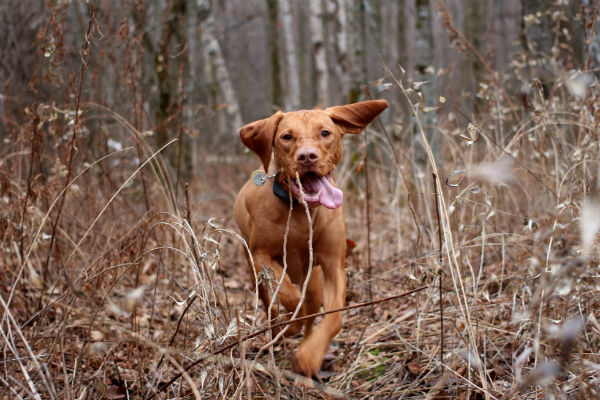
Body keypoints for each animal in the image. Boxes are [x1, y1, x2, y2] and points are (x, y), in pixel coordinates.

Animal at [232, 98, 386, 376]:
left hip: (313, 281)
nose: (306, 157)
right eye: (286, 137)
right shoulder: (262, 256)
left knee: (310, 315)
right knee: (271, 306)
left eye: (325, 133)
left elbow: (334, 318)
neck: (302, 212)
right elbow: (289, 296)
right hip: (256, 274)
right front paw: (290, 322)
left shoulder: (333, 266)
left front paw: (308, 357)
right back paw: (277, 333)